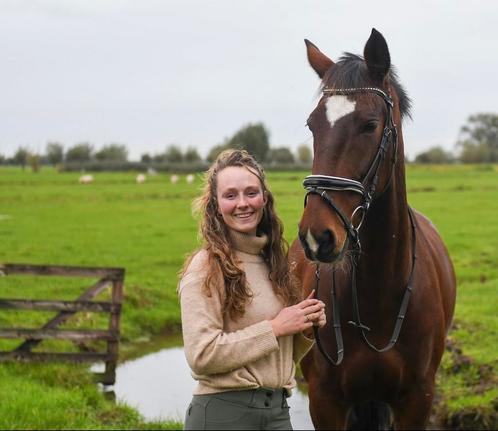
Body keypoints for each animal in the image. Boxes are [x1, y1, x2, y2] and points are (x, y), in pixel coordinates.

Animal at [290, 28, 458, 430]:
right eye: (312, 125)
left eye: (369, 124)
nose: (316, 236)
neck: (379, 291)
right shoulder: (324, 402)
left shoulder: (418, 400)